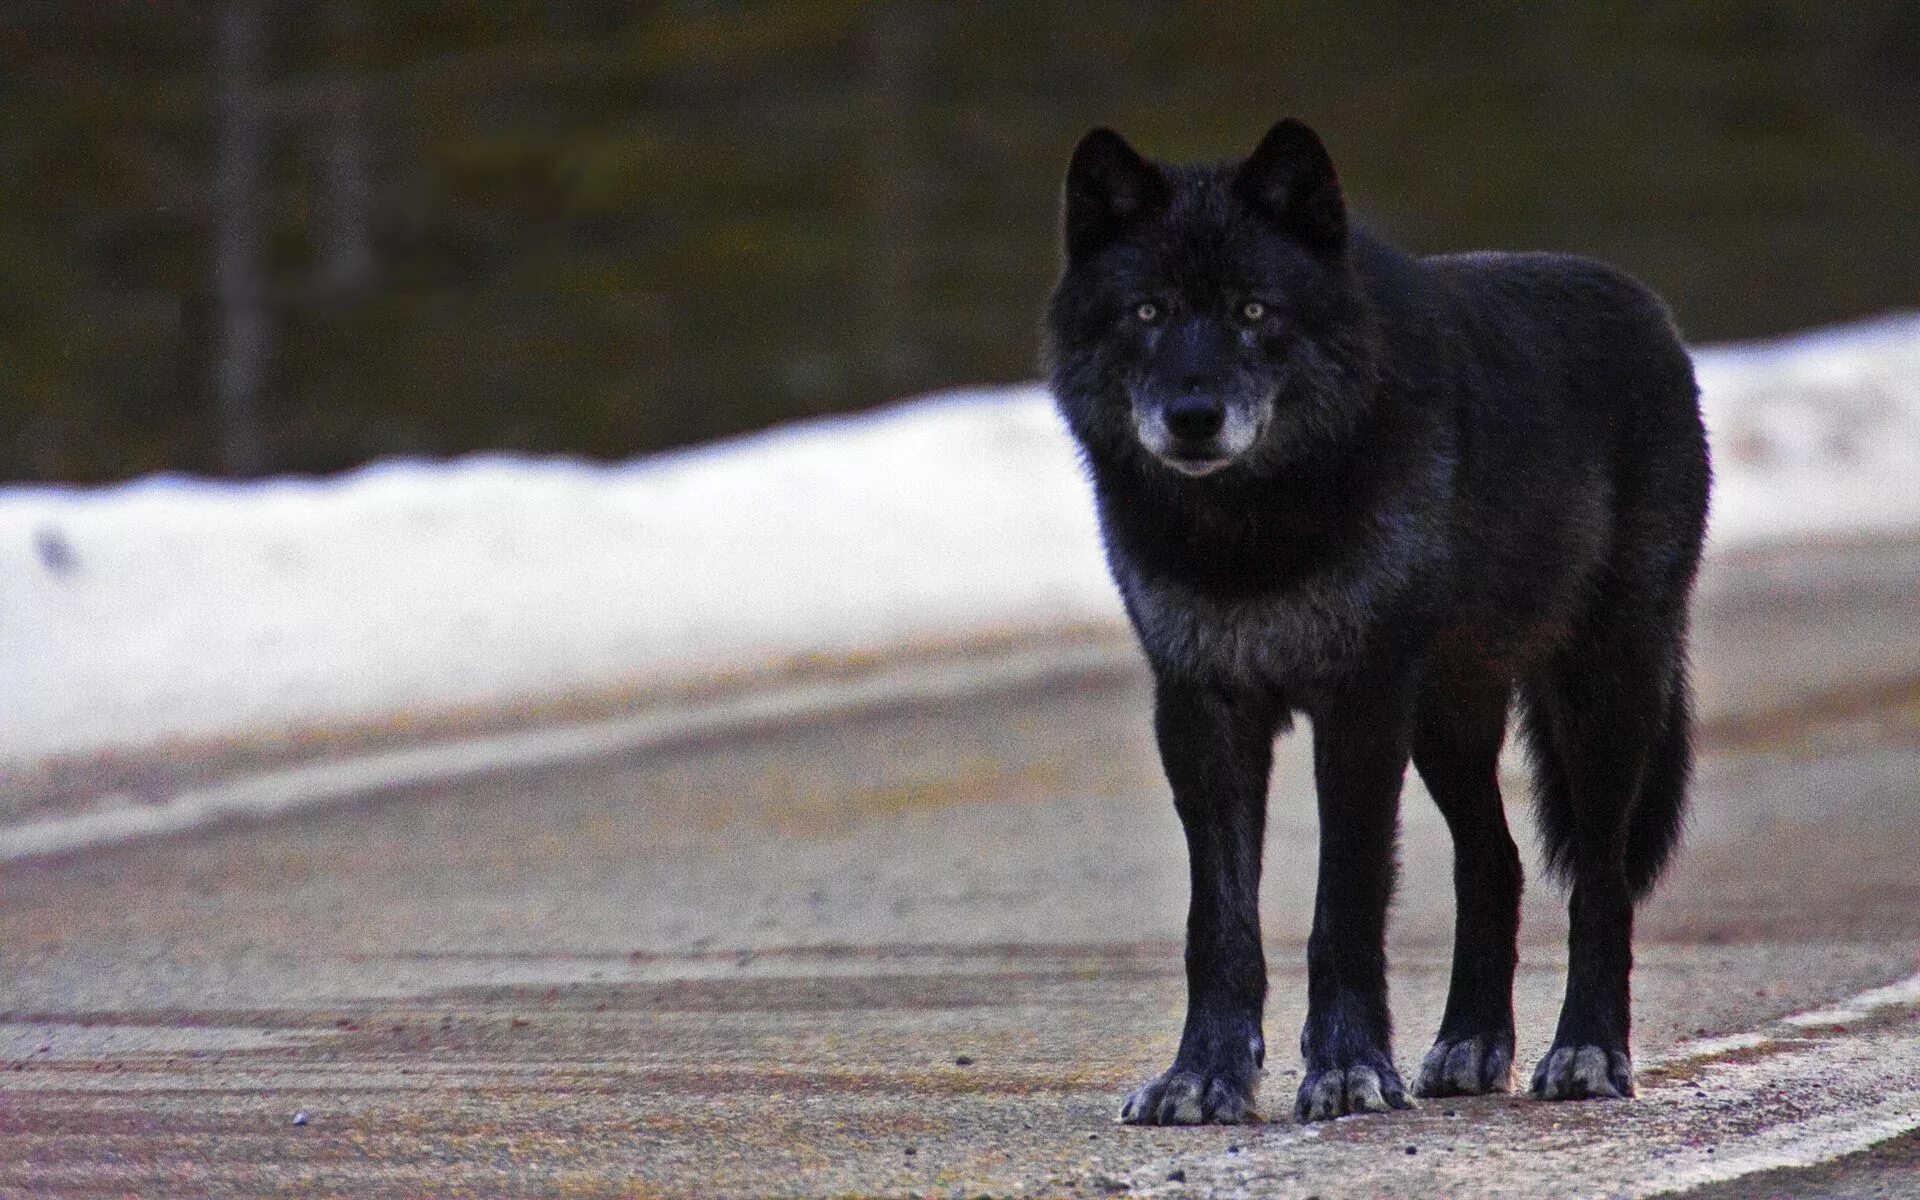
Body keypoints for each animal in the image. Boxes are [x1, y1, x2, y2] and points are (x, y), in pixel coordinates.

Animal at [1044, 121, 1720, 1121]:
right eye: (1147, 312)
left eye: (1254, 311)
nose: (1193, 417)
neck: (1250, 534)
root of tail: (1652, 312)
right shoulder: (1201, 710)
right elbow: (1219, 926)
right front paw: (1203, 1074)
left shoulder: (1359, 704)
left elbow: (1346, 907)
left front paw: (1347, 1068)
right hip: (1447, 719)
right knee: (1497, 864)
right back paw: (1471, 1045)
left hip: (1601, 698)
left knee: (1597, 883)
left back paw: (1587, 1052)